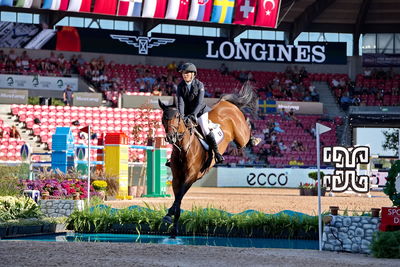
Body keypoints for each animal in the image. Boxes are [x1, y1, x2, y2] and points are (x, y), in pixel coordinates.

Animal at [158, 85, 258, 238]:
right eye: (163, 118)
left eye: (177, 117)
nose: (171, 137)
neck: (183, 148)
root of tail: (225, 103)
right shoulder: (177, 179)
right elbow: (178, 200)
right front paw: (173, 228)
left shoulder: (190, 177)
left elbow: (179, 197)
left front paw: (168, 216)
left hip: (241, 137)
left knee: (246, 134)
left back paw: (254, 138)